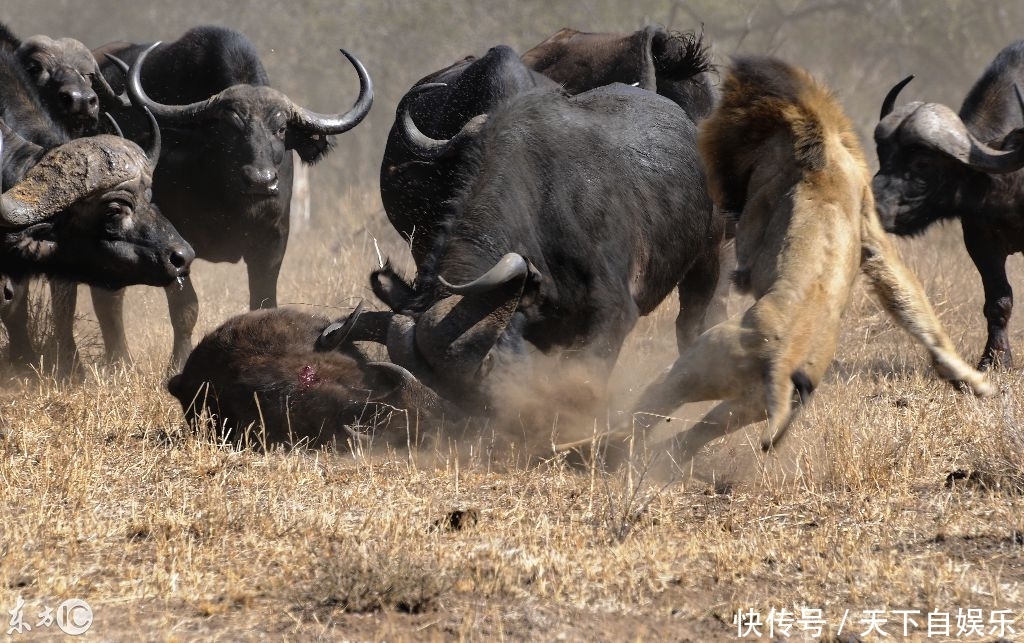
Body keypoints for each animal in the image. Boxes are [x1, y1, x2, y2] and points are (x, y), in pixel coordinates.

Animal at [872, 40, 1024, 368]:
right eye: (883, 155)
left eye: (923, 163)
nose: (873, 206)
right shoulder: (980, 241)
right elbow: (998, 299)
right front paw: (995, 359)